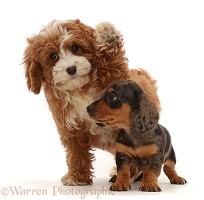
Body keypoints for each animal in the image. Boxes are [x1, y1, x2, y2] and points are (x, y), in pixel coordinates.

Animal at [22, 19, 161, 186]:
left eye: (75, 48)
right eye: (53, 56)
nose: (71, 69)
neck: (78, 89)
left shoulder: (119, 81)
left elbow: (114, 65)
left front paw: (108, 35)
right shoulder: (70, 128)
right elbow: (76, 152)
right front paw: (77, 178)